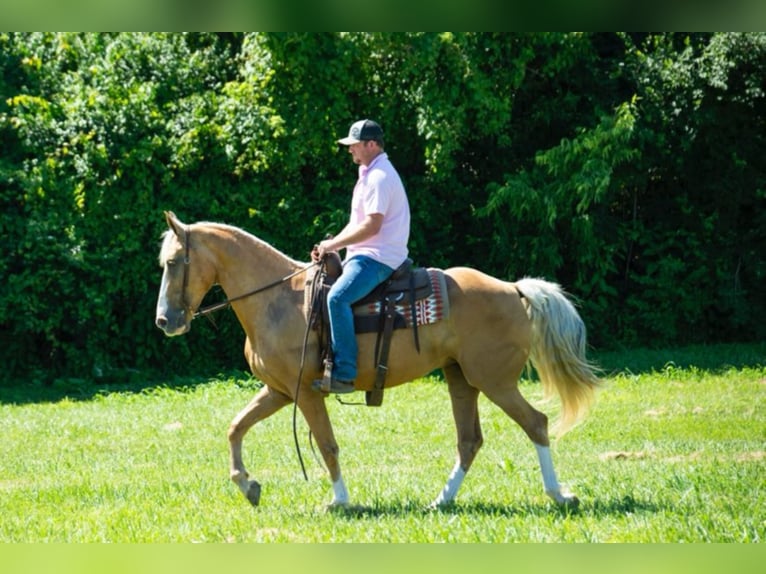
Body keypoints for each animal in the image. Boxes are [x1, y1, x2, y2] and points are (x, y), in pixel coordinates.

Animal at [154, 212, 600, 508]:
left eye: (174, 262)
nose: (165, 321)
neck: (280, 300)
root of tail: (512, 288)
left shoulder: (305, 392)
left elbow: (328, 445)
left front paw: (339, 501)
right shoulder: (278, 391)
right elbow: (236, 427)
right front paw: (247, 485)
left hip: (495, 381)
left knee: (536, 424)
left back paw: (559, 495)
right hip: (461, 379)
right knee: (470, 441)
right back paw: (441, 501)